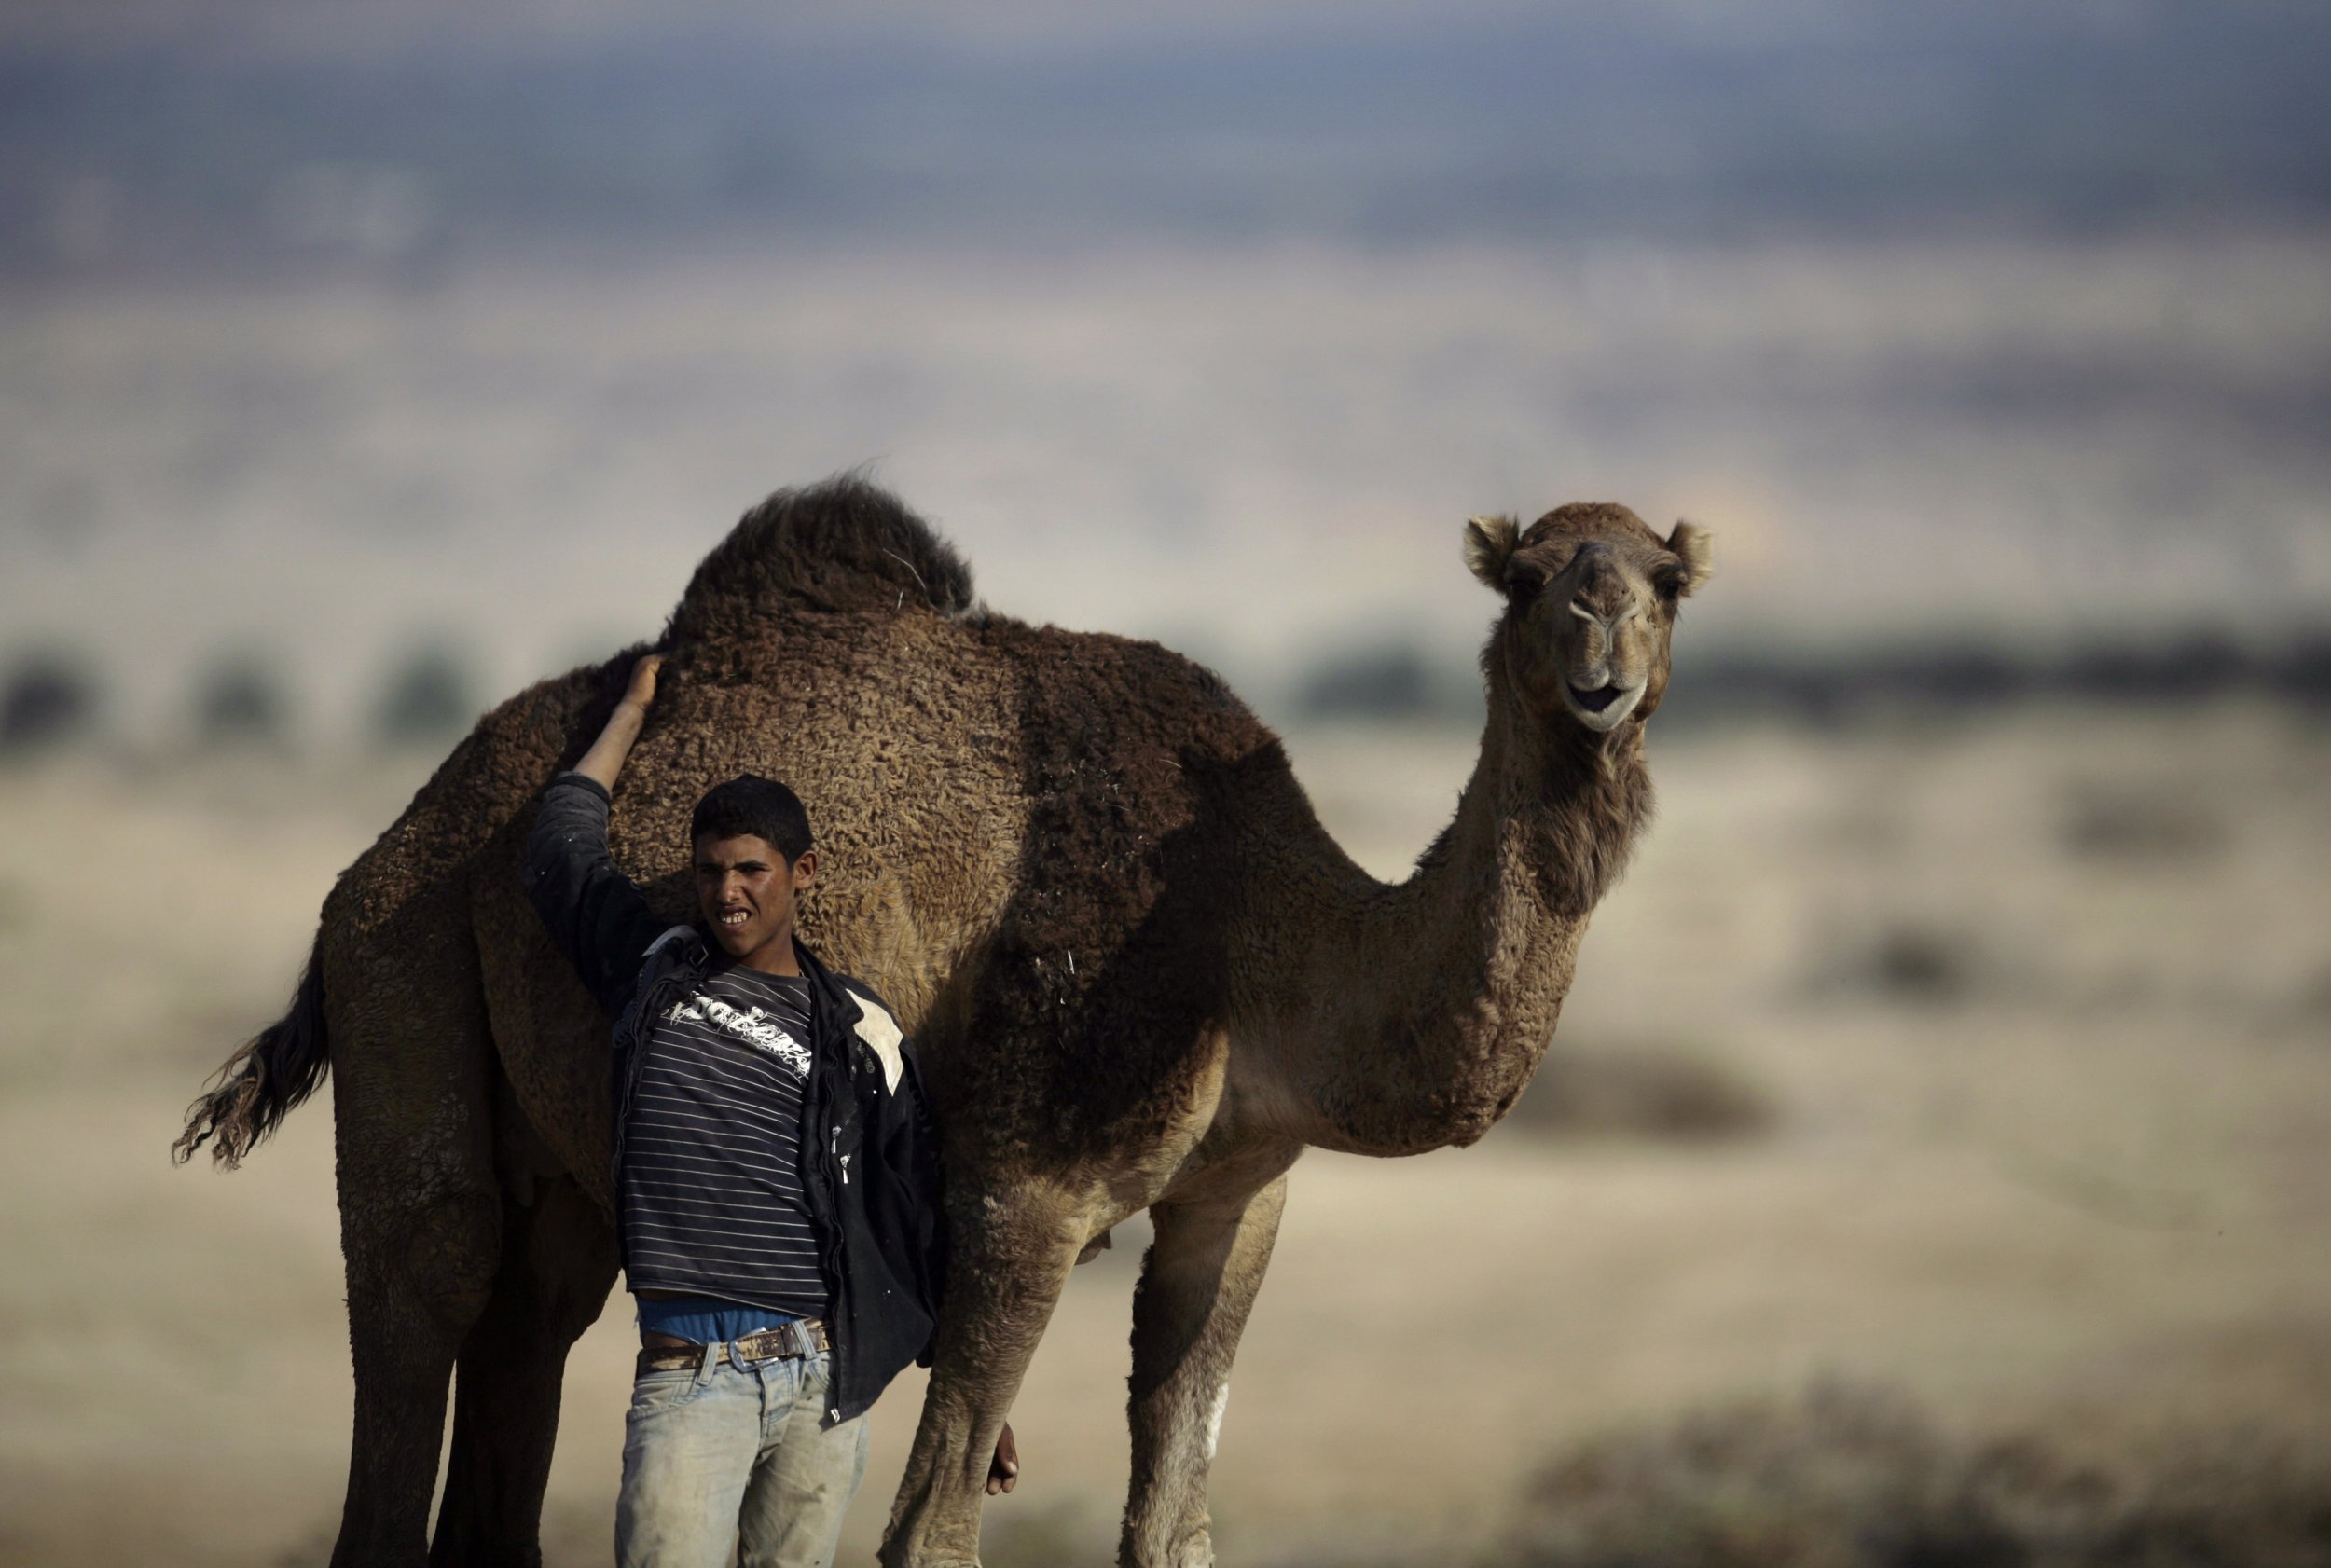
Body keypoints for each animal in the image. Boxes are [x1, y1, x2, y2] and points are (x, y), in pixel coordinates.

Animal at [177, 477, 1716, 1565]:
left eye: (1663, 581)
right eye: (1531, 579)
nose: (1600, 668)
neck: (1250, 927)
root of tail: (399, 836)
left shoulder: (1237, 1190)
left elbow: (1175, 1520)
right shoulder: (1024, 1180)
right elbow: (934, 1530)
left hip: (557, 1157)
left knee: (527, 1329)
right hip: (402, 963)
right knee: (425, 1275)